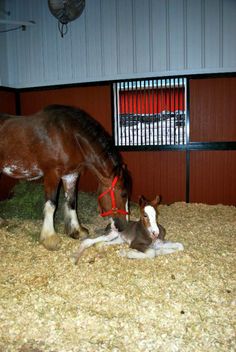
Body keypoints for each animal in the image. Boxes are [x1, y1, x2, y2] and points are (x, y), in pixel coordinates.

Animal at [0, 104, 132, 250]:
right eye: (124, 194)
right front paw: (50, 238)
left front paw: (76, 231)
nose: (124, 226)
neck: (68, 136)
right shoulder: (52, 174)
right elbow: (51, 205)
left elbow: (72, 202)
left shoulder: (70, 175)